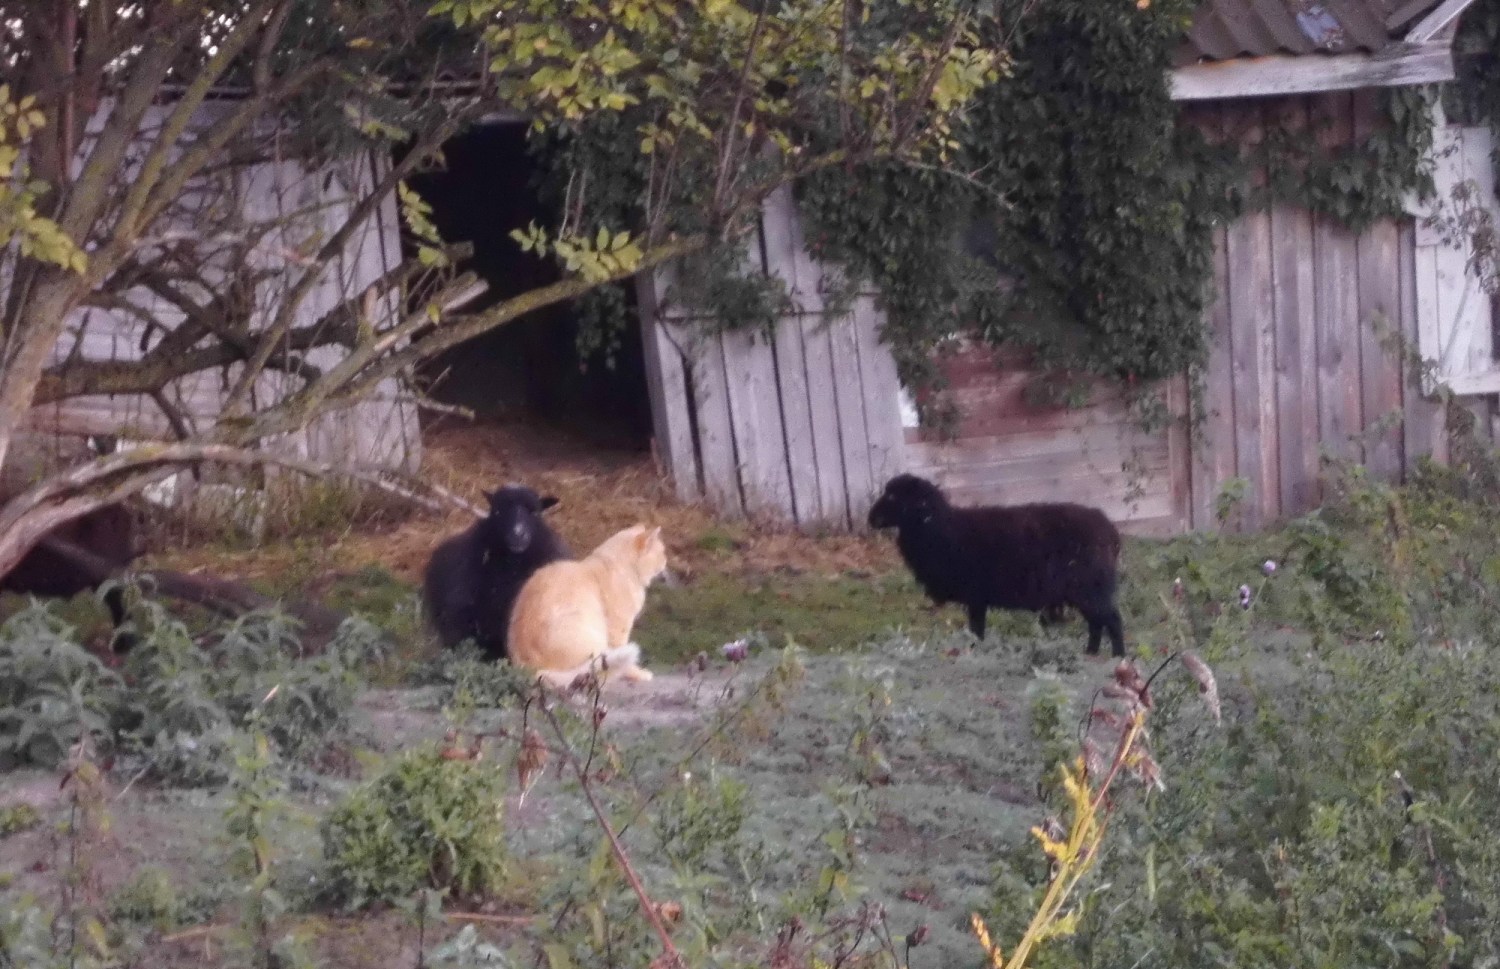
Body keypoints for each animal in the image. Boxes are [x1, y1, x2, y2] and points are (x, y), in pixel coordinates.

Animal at [867, 473, 1125, 657]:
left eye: (893, 496)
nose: (871, 519)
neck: (939, 528)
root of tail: (1110, 531)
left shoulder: (975, 596)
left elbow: (976, 631)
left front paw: (975, 653)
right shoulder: (977, 598)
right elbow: (977, 630)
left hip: (1090, 586)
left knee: (1111, 620)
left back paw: (1117, 657)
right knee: (1097, 622)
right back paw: (1090, 654)